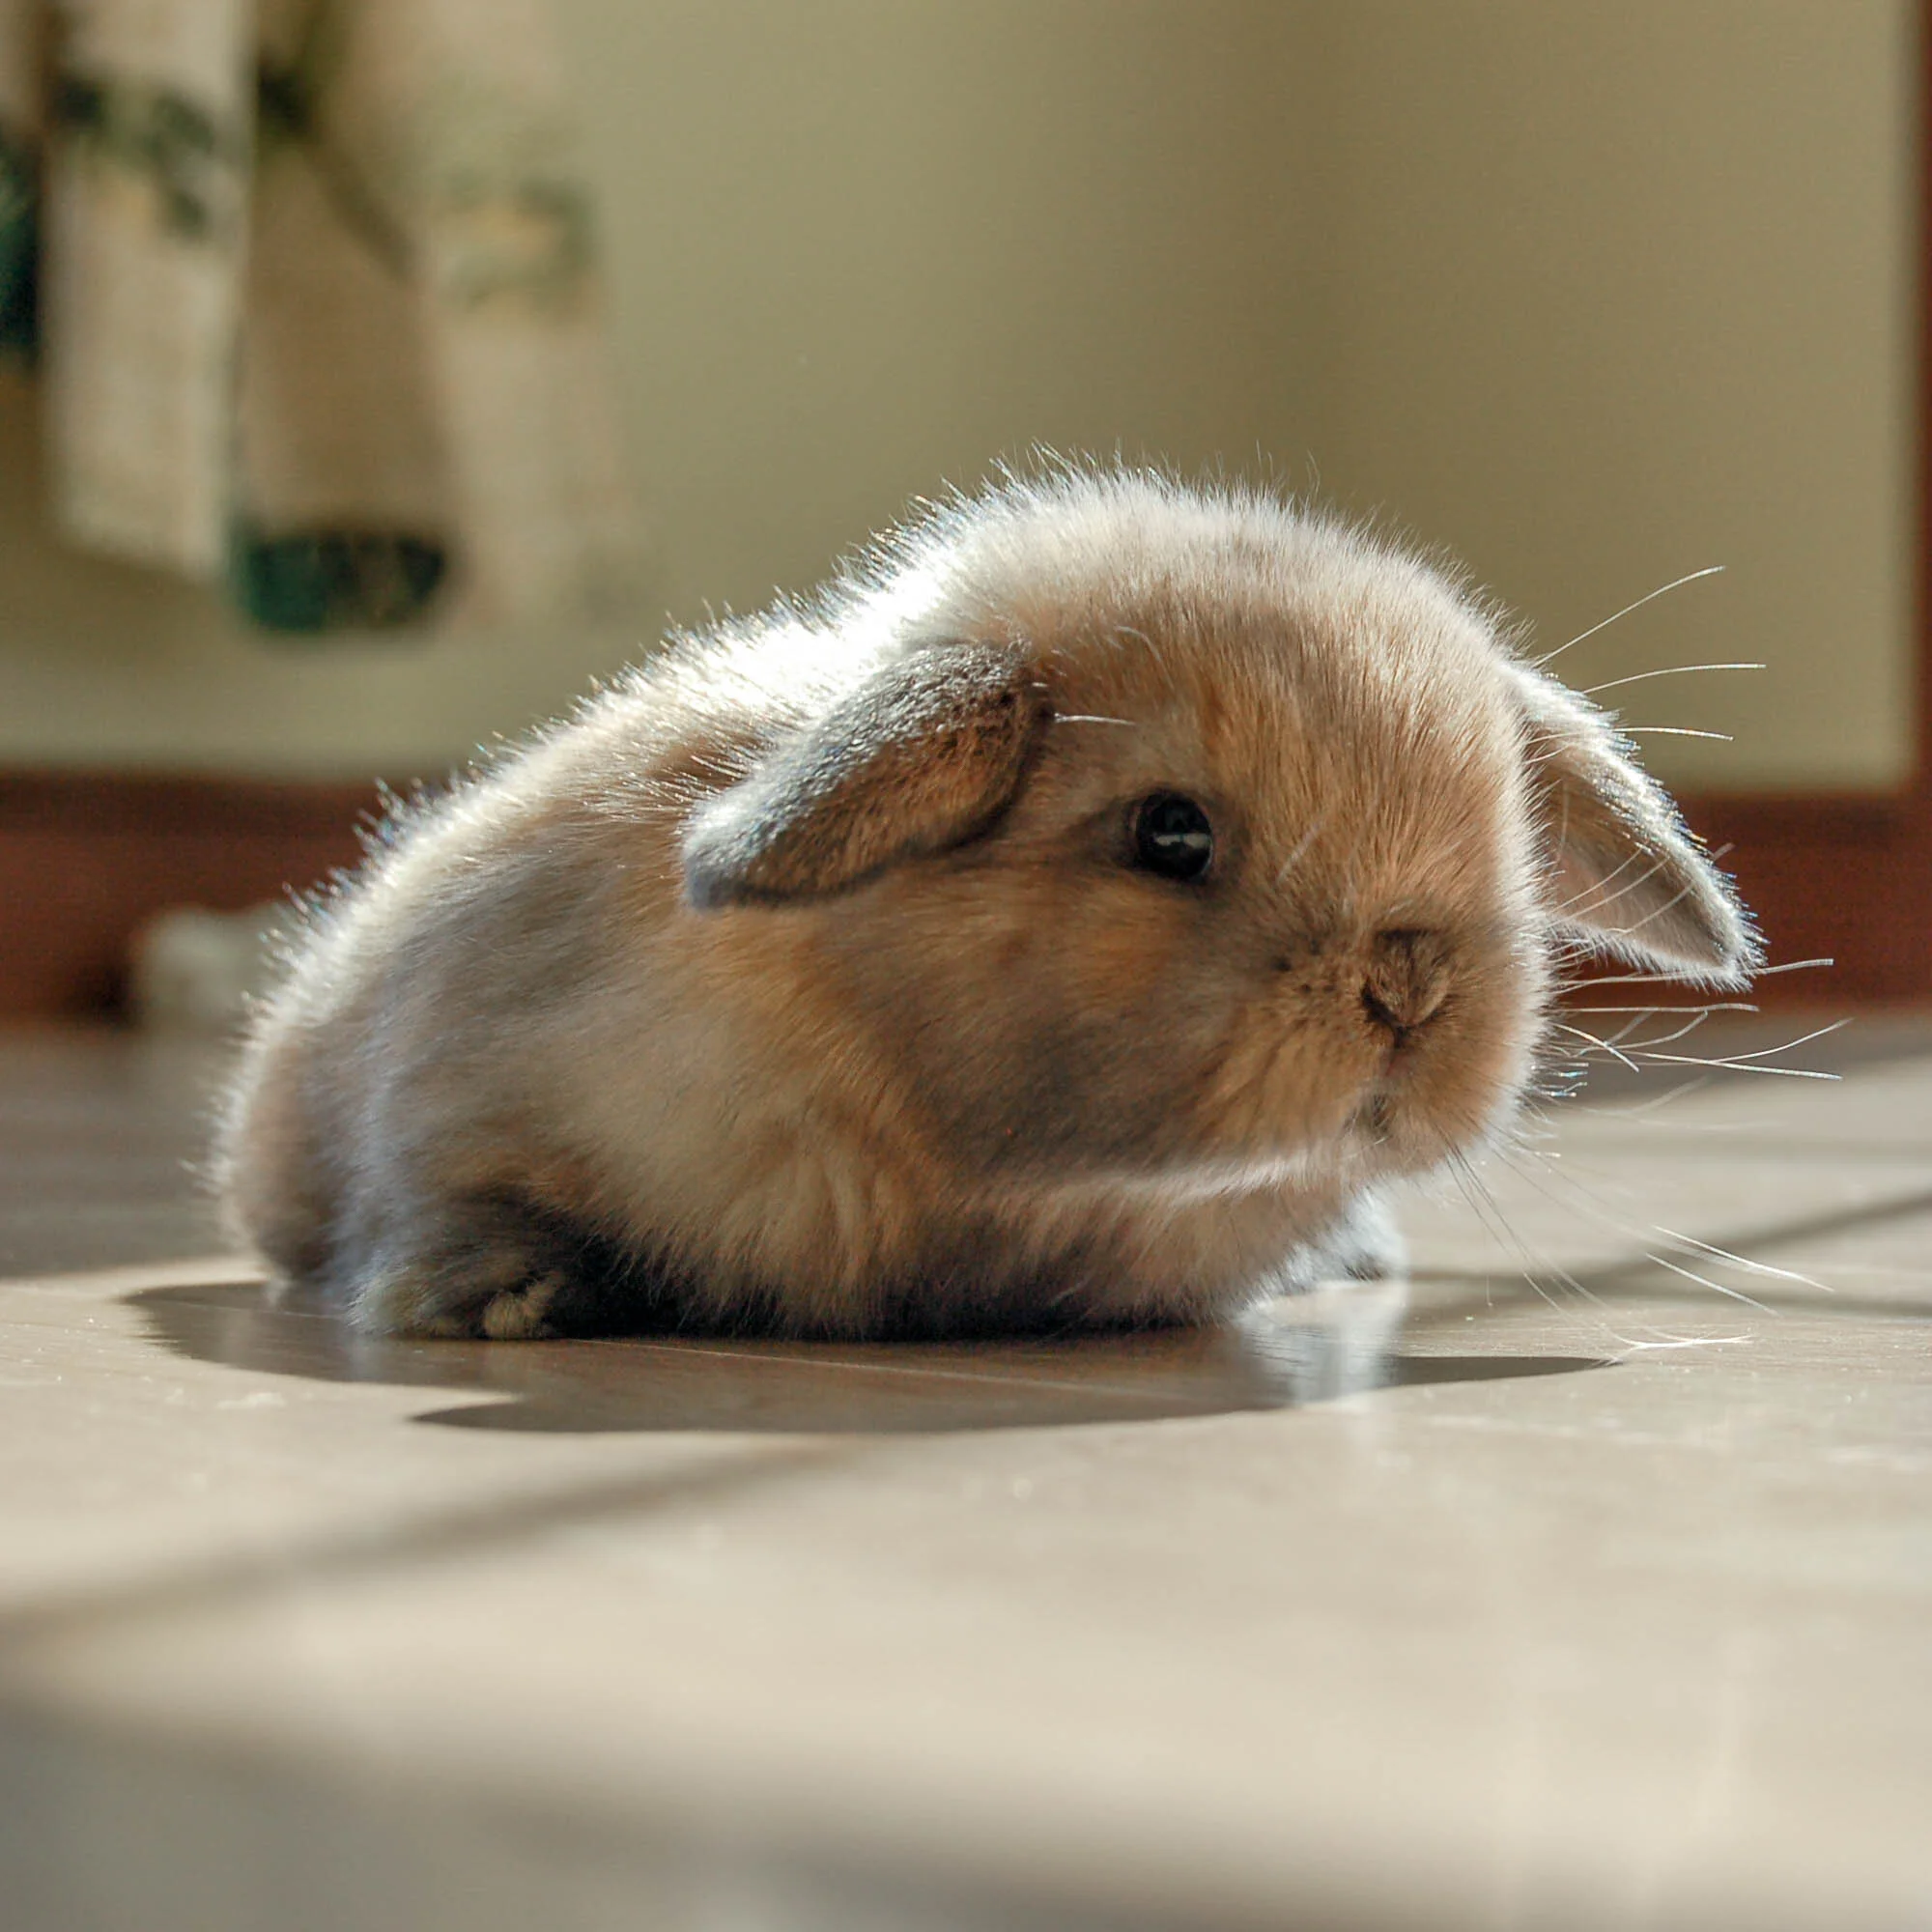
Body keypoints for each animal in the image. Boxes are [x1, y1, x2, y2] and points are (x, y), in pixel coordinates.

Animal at [214, 465, 1757, 1340]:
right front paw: (496, 1301)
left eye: (1500, 838)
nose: (1411, 983)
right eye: (1169, 833)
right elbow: (446, 1201)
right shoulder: (450, 1095)